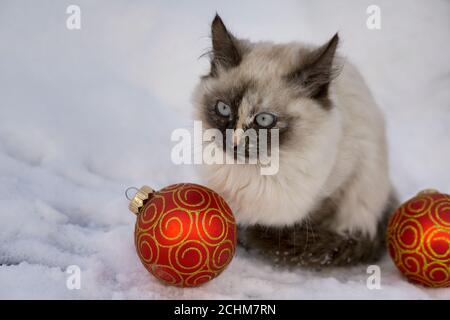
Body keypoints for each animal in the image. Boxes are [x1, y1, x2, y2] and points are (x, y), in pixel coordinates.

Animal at [191, 14, 398, 268]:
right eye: (223, 108)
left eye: (264, 119)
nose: (234, 143)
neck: (258, 171)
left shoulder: (336, 189)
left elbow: (303, 229)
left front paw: (257, 237)